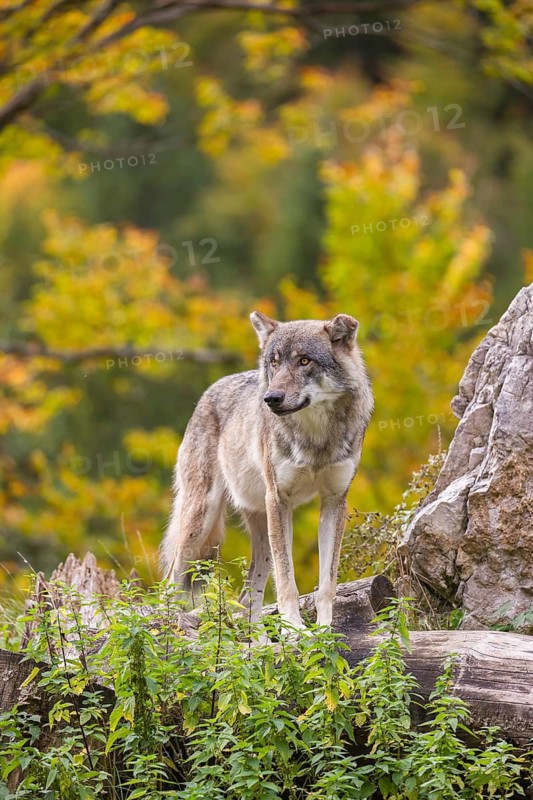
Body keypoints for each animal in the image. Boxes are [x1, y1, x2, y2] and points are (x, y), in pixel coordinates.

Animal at [161, 312, 373, 628]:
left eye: (304, 361)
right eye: (274, 362)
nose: (271, 398)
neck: (315, 438)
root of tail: (209, 392)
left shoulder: (334, 502)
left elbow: (328, 583)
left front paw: (324, 630)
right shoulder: (279, 500)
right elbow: (287, 581)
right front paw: (296, 630)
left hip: (261, 534)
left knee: (248, 601)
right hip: (202, 517)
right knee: (171, 578)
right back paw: (170, 624)